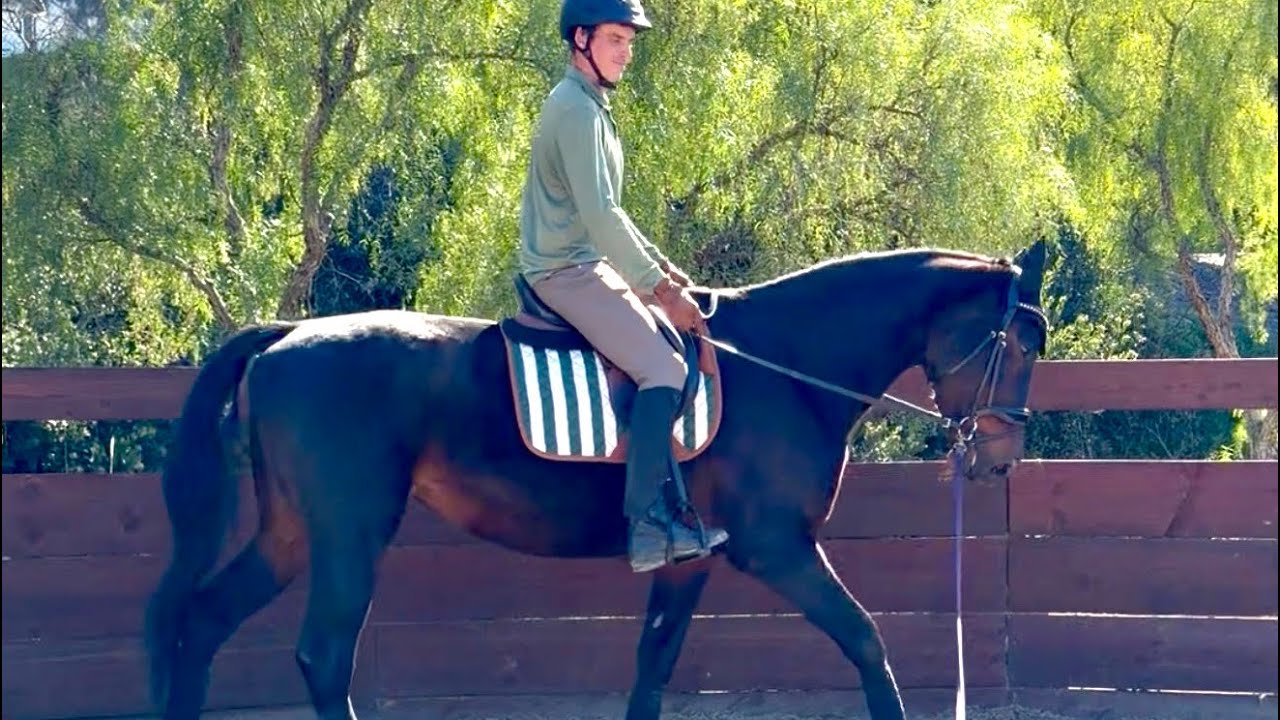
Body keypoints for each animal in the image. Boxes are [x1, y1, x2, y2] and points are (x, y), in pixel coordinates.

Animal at [144, 241, 1048, 720]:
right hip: (348, 537)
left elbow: (653, 666)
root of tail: (285, 335)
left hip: (292, 533)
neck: (786, 366)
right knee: (323, 655)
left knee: (203, 621)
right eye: (1017, 343)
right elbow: (865, 639)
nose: (1000, 457)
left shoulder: (692, 560)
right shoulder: (776, 548)